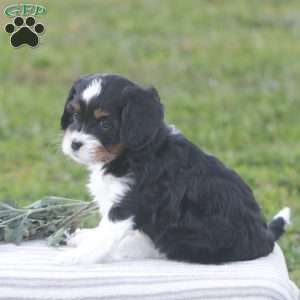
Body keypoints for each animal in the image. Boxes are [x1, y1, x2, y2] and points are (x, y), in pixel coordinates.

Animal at [59, 74, 290, 264]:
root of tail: (266, 237)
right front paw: (86, 237)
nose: (74, 144)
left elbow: (105, 235)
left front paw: (74, 257)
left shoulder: (127, 205)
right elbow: (102, 230)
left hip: (193, 241)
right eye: (75, 116)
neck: (132, 153)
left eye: (105, 124)